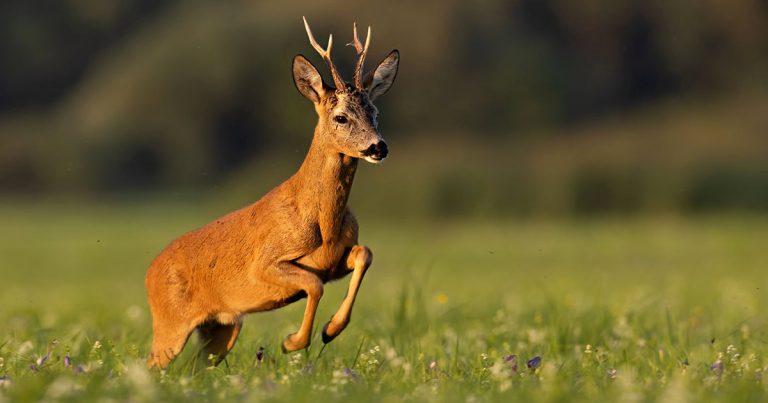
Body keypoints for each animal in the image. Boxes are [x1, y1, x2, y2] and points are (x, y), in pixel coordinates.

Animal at [142, 16, 402, 370]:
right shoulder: (265, 263)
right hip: (171, 323)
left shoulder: (335, 262)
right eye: (341, 117)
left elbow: (365, 254)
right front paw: (293, 341)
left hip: (222, 327)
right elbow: (313, 285)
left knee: (194, 369)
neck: (324, 223)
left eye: (375, 113)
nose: (378, 147)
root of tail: (150, 273)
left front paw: (331, 329)